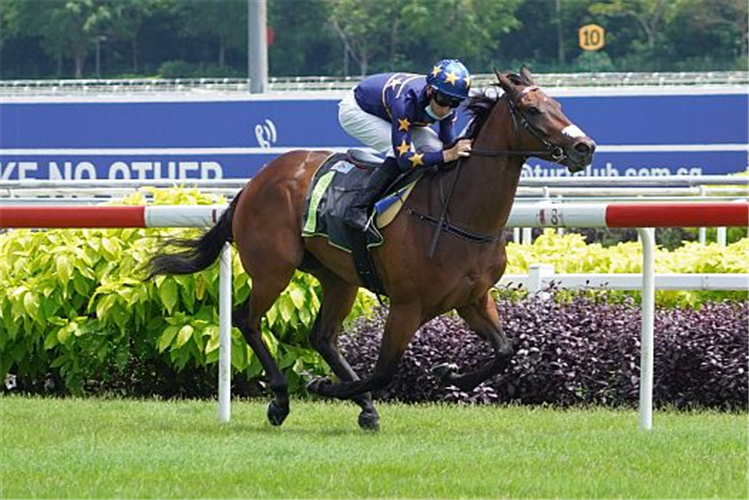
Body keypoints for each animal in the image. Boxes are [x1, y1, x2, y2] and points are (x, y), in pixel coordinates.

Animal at [150, 68, 596, 432]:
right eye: (532, 111)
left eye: (558, 105)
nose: (584, 147)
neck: (458, 213)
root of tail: (256, 181)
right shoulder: (406, 305)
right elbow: (383, 371)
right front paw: (322, 385)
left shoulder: (472, 298)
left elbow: (504, 350)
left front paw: (448, 373)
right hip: (273, 269)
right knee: (247, 319)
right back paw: (281, 398)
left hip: (338, 277)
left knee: (323, 337)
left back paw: (361, 406)